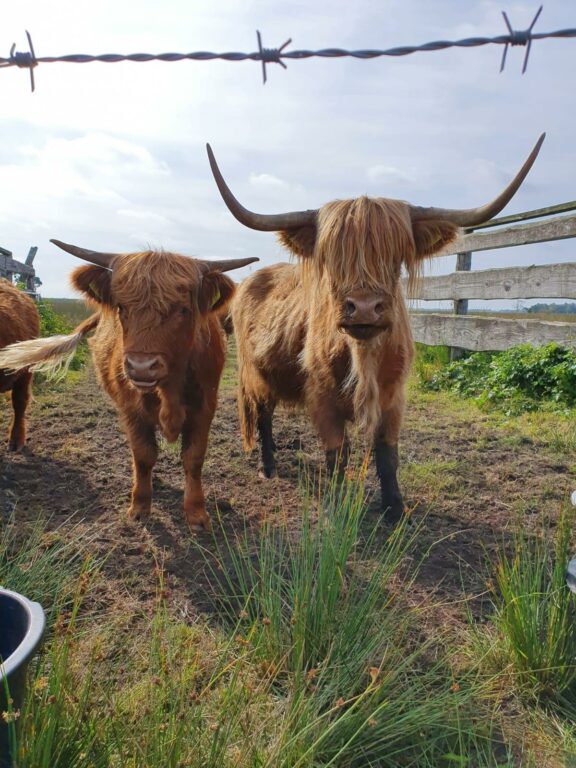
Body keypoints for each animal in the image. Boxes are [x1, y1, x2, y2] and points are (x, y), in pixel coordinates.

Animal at [0, 244, 256, 528]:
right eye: (122, 307)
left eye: (182, 309)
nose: (141, 366)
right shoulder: (131, 410)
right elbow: (143, 454)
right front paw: (140, 506)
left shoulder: (205, 406)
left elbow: (193, 457)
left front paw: (196, 513)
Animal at [207, 135, 544, 524]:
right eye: (333, 258)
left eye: (395, 258)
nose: (364, 307)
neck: (363, 356)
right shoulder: (322, 396)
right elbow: (337, 453)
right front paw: (337, 504)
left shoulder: (393, 396)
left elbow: (387, 453)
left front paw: (395, 508)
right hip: (254, 373)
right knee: (262, 416)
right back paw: (267, 466)